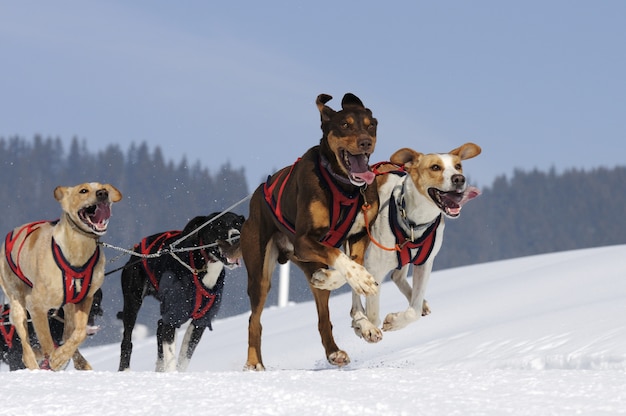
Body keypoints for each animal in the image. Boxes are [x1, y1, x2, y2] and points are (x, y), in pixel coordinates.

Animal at [0, 182, 121, 370]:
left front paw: (63, 356)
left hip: (69, 307)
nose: (103, 193)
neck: (77, 251)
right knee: (26, 348)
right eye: (83, 190)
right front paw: (55, 358)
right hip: (17, 302)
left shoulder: (84, 300)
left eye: (103, 187)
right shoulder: (36, 306)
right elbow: (47, 342)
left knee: (69, 333)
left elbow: (79, 333)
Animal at [117, 213, 244, 372]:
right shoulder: (172, 318)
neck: (201, 268)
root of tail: (136, 249)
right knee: (127, 340)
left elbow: (184, 358)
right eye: (219, 224)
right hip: (132, 303)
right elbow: (171, 357)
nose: (236, 236)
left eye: (238, 223)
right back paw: (125, 370)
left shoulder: (200, 322)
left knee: (159, 327)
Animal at [241, 92, 378, 368]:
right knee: (254, 321)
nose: (366, 142)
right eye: (345, 125)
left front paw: (362, 320)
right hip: (260, 274)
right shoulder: (304, 241)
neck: (343, 185)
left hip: (305, 260)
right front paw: (358, 279)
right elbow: (341, 259)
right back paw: (254, 363)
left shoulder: (358, 237)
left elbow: (352, 265)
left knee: (323, 318)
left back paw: (334, 350)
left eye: (371, 125)